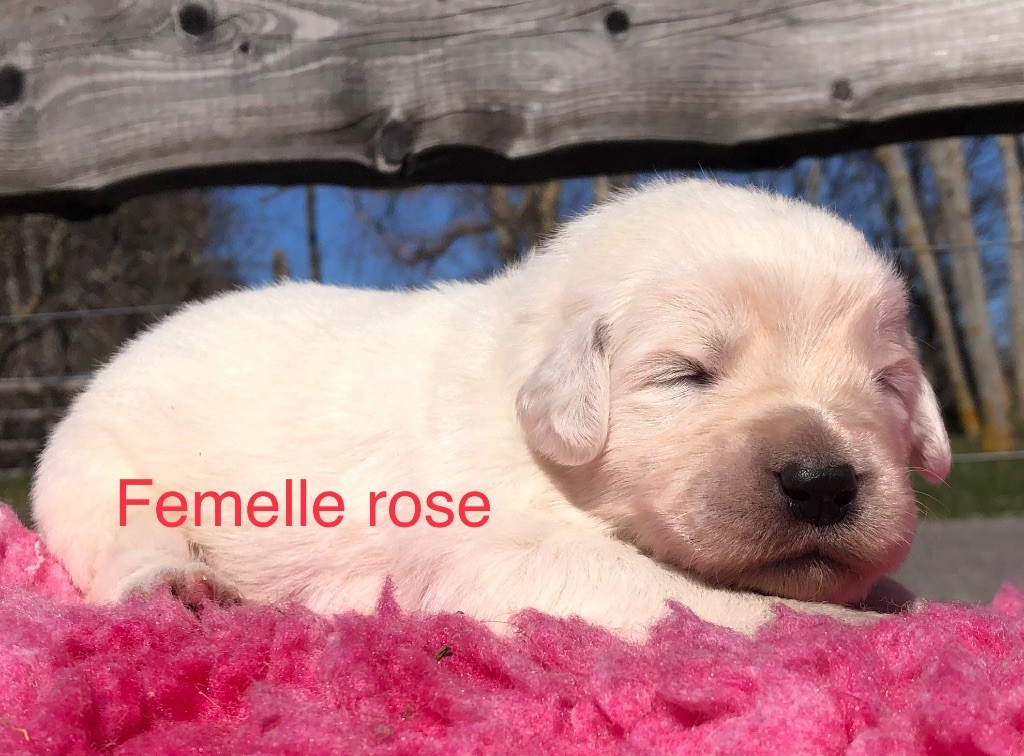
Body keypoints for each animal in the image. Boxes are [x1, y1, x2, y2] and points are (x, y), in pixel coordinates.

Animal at [31, 179, 950, 639]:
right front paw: (850, 624)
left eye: (888, 383)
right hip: (97, 476)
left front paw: (891, 596)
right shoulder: (496, 556)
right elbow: (735, 604)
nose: (824, 482)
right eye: (688, 374)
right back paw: (178, 583)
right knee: (117, 544)